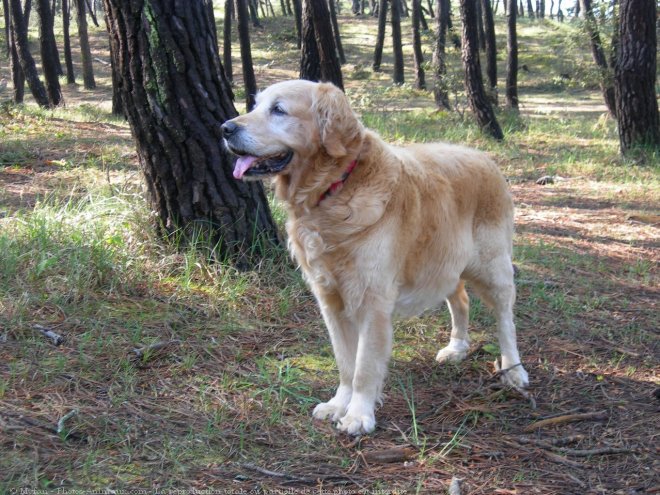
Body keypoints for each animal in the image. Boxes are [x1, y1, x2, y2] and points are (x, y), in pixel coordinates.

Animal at [223, 79, 532, 436]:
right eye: (255, 105)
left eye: (278, 110)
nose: (225, 128)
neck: (333, 190)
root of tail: (484, 157)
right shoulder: (330, 300)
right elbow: (346, 363)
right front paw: (338, 404)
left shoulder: (372, 301)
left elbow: (364, 367)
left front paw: (358, 415)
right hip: (442, 263)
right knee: (461, 300)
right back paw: (457, 348)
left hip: (492, 267)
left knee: (506, 319)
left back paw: (513, 369)